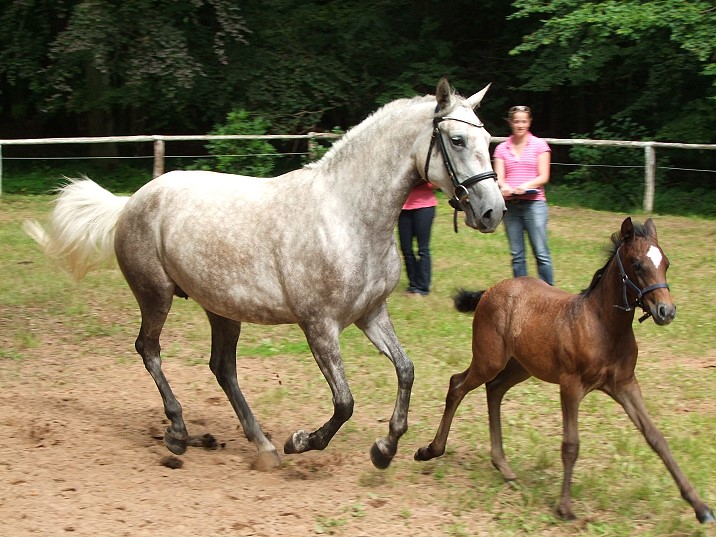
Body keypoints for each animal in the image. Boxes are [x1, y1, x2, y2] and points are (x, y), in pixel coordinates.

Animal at [412, 216, 712, 520]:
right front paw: (565, 507)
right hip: (489, 359)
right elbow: (571, 445)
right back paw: (430, 450)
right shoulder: (571, 385)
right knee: (457, 384)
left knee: (494, 390)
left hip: (522, 366)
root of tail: (490, 290)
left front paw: (700, 507)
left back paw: (503, 466)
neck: (604, 327)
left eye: (666, 263)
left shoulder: (625, 383)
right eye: (637, 264)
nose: (666, 311)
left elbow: (656, 438)